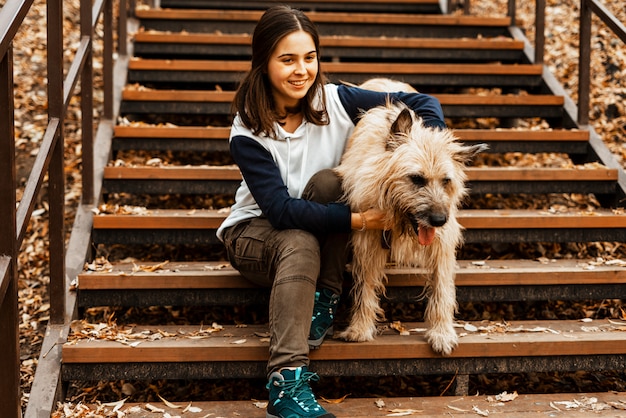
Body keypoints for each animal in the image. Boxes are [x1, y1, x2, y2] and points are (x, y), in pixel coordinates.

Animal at [334, 77, 486, 352]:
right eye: (416, 179)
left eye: (446, 180)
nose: (439, 220)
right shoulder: (368, 240)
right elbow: (365, 287)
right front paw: (360, 327)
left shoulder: (442, 242)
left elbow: (442, 288)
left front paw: (442, 331)